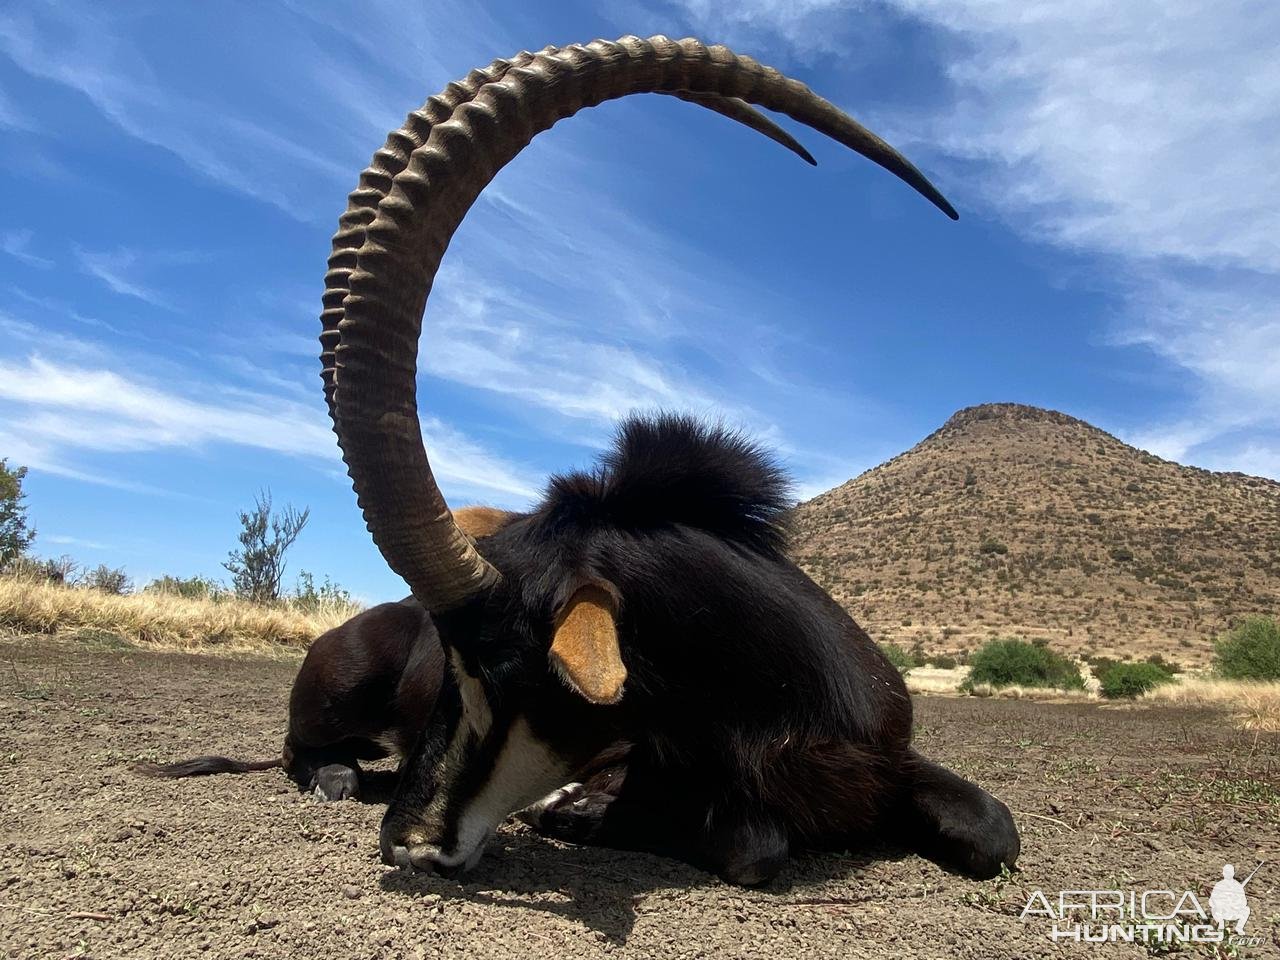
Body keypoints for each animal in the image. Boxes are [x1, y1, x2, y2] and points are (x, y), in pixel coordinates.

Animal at [312, 32, 1018, 885]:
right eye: (446, 662)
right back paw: (338, 774)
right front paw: (575, 810)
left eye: (501, 665)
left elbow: (991, 827)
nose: (406, 842)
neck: (782, 690)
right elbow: (755, 837)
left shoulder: (892, 759)